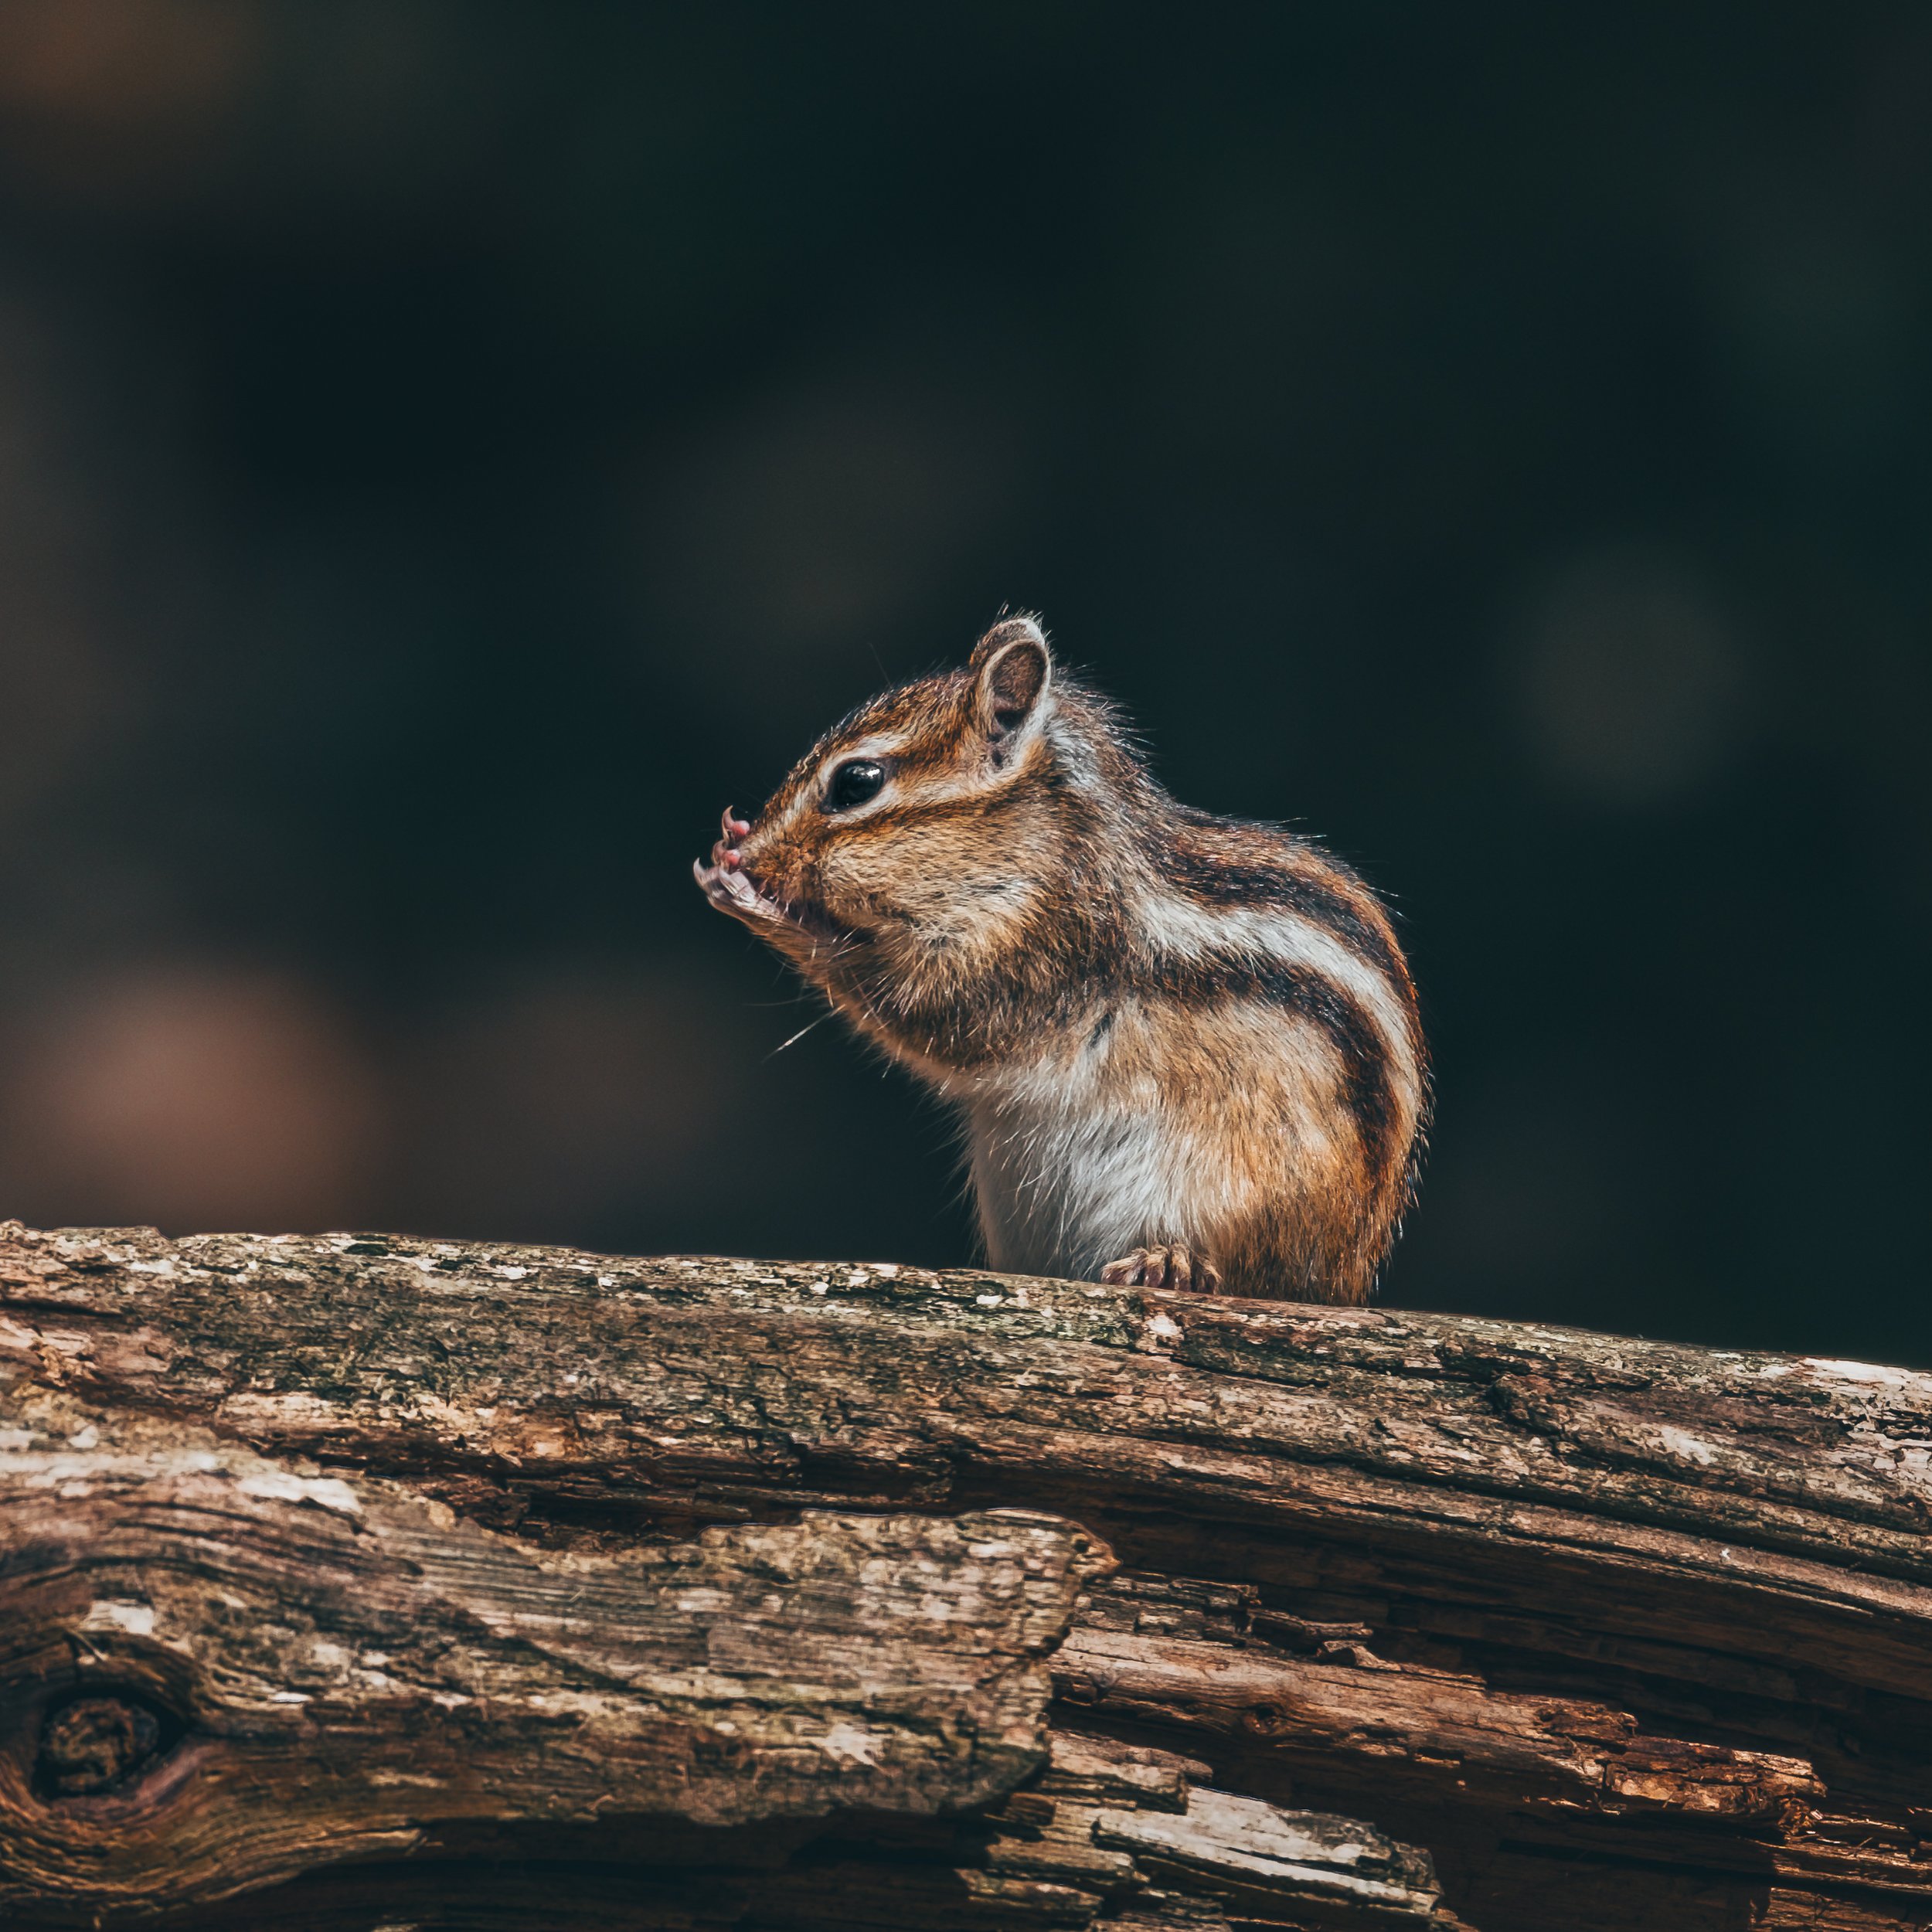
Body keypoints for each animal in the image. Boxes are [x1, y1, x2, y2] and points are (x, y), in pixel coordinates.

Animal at [694, 616, 1427, 1303]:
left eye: (856, 783)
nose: (753, 852)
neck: (1041, 846)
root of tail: (1345, 1280)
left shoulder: (1038, 957)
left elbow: (929, 1012)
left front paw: (744, 891)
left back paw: (1173, 1263)